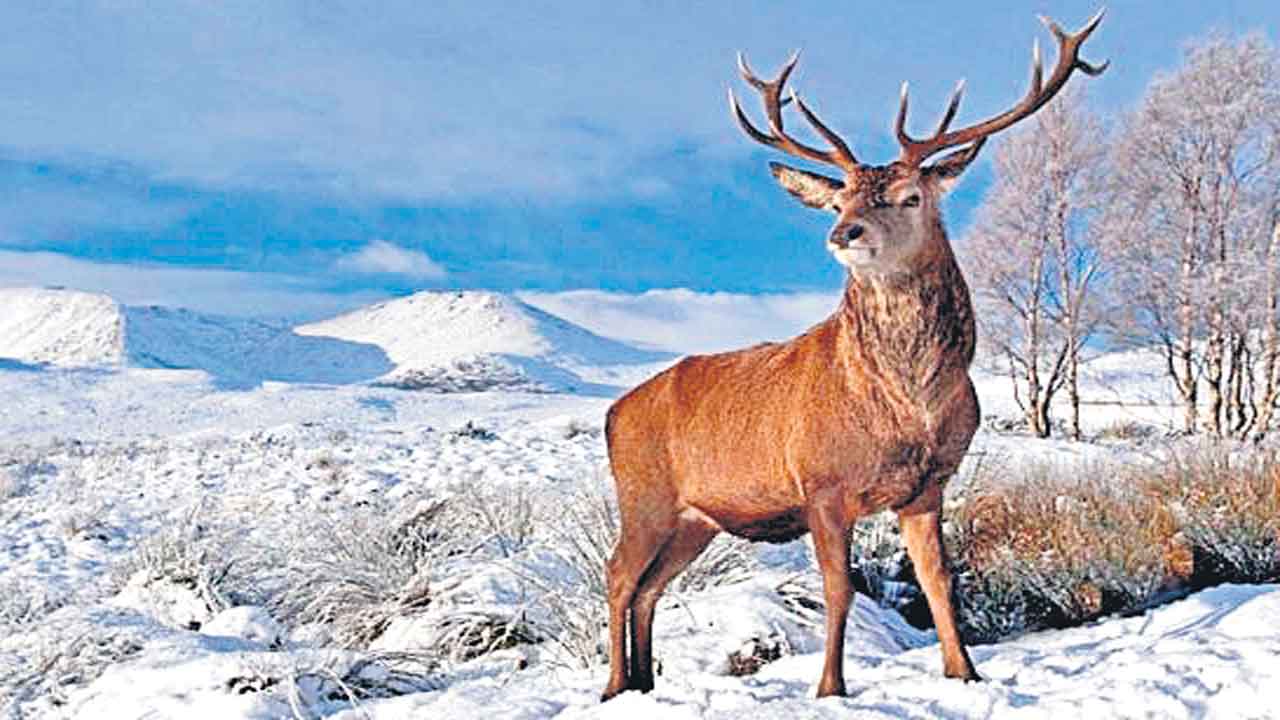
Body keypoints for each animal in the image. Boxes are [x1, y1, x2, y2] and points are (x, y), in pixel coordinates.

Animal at [600, 11, 1108, 702]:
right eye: (840, 199)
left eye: (911, 196)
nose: (844, 233)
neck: (910, 406)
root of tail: (612, 414)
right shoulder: (822, 484)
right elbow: (839, 590)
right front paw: (829, 688)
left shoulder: (927, 486)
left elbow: (940, 580)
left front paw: (964, 673)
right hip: (643, 495)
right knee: (619, 575)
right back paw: (611, 687)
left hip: (696, 519)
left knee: (650, 586)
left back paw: (645, 684)